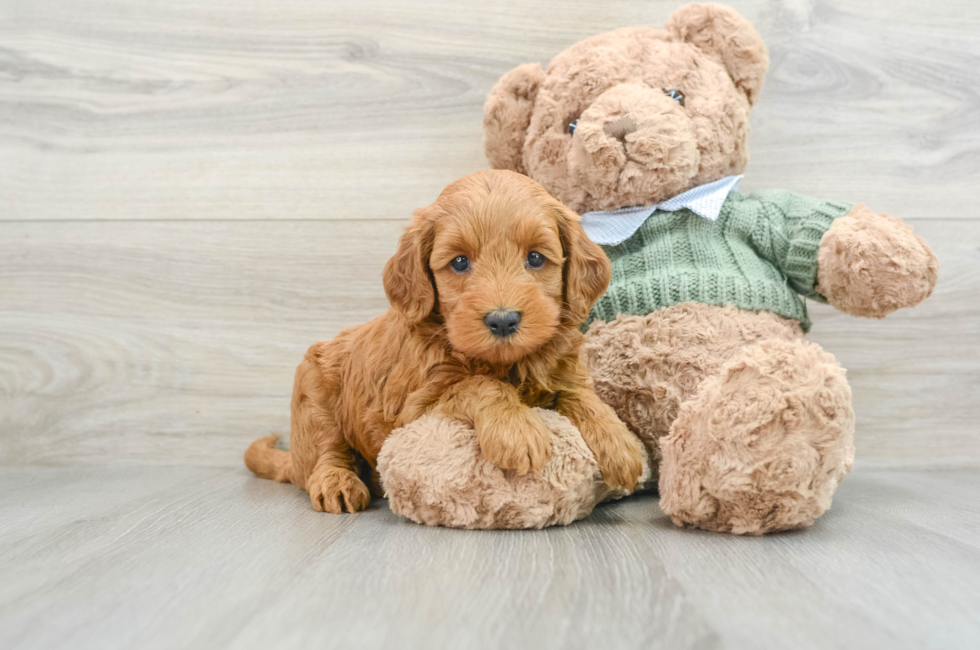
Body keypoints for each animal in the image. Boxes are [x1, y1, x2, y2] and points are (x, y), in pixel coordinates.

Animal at [244, 168, 644, 512]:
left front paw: (620, 444)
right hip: (314, 395)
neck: (505, 363)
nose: (503, 320)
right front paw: (516, 430)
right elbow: (476, 384)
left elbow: (581, 396)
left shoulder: (562, 372)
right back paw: (336, 483)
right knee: (325, 451)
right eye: (460, 263)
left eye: (535, 258)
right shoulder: (413, 409)